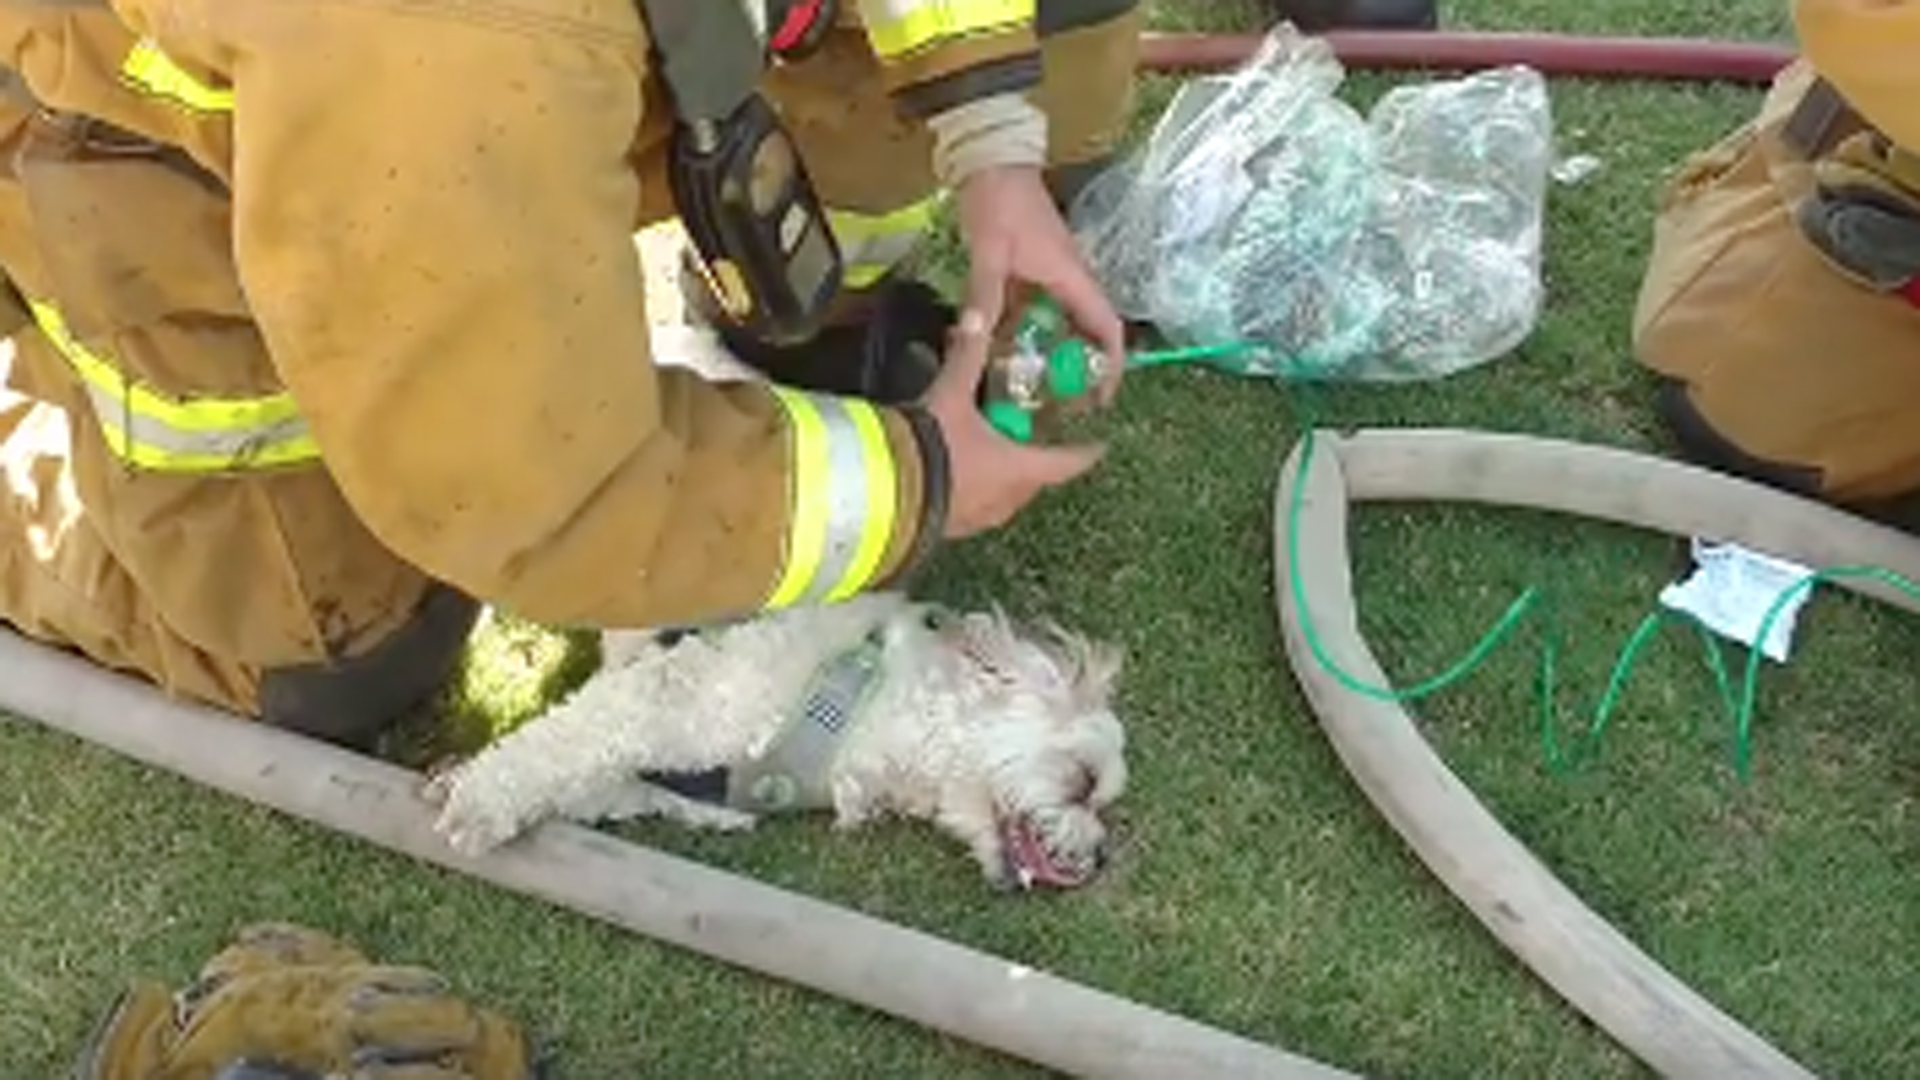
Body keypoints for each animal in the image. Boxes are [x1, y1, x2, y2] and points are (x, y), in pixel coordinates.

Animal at [424, 591, 1121, 887]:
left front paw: (463, 781)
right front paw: (479, 800)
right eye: (1082, 784)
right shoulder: (676, 694)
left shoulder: (654, 778)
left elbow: (585, 779)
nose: (1102, 856)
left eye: (1101, 805)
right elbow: (564, 739)